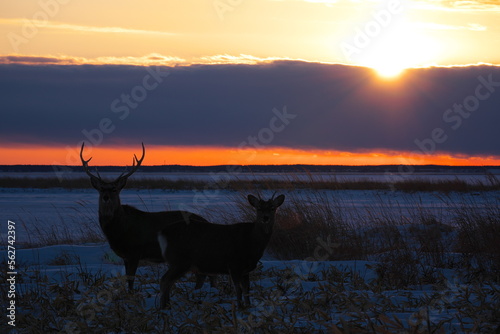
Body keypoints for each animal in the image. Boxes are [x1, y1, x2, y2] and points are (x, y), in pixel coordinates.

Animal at [79, 142, 211, 294]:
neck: (119, 229)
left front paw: (131, 295)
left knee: (202, 275)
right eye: (101, 189)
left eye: (114, 189)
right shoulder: (125, 256)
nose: (106, 197)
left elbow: (131, 280)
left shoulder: (135, 252)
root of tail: (207, 222)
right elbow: (127, 279)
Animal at [158, 194, 288, 310]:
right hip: (180, 260)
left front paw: (248, 306)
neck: (251, 242)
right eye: (259, 208)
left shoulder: (245, 270)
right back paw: (164, 307)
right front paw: (240, 307)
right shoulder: (234, 265)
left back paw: (167, 305)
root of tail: (163, 232)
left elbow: (247, 290)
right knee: (165, 280)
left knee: (168, 281)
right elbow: (238, 290)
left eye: (272, 207)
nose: (265, 217)